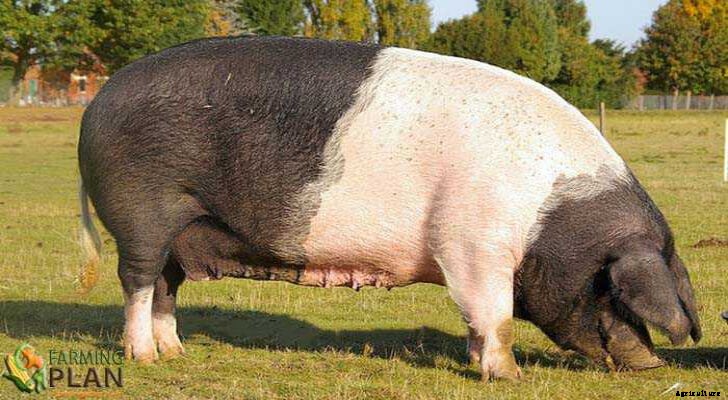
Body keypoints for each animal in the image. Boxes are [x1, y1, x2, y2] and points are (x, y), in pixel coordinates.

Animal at [77, 36, 701, 381]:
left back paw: (176, 354)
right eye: (611, 291)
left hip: (182, 230)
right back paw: (145, 360)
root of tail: (98, 100)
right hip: (142, 213)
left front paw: (472, 361)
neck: (544, 216)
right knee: (137, 280)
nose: (653, 364)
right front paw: (508, 376)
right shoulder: (473, 244)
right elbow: (495, 314)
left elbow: (475, 317)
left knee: (166, 285)